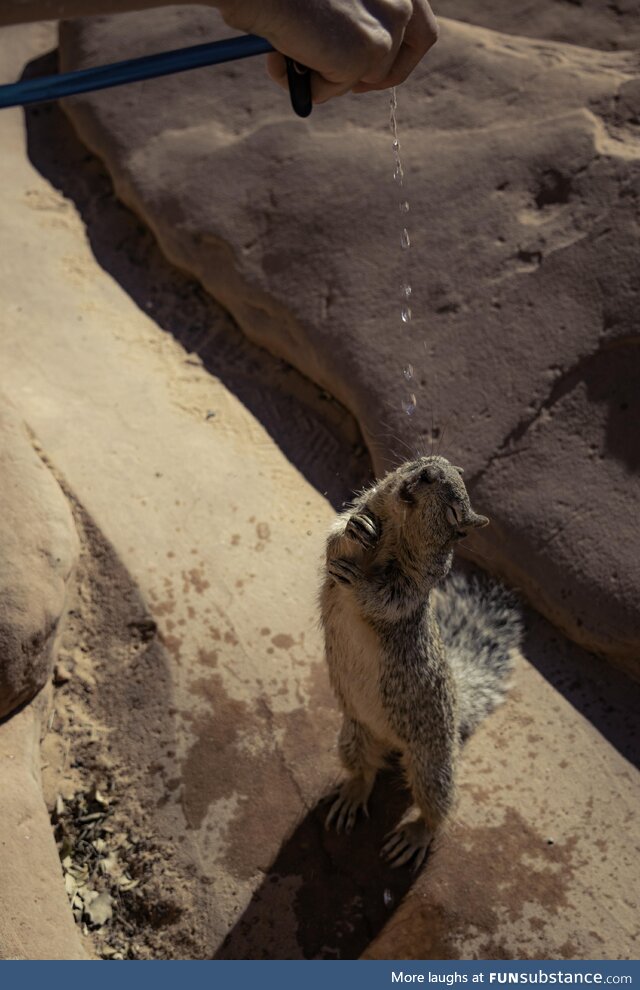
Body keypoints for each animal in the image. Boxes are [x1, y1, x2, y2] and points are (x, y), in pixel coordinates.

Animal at [320, 458, 520, 868]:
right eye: (422, 463)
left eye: (455, 512)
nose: (426, 474)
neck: (392, 532)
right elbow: (334, 543)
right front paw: (355, 528)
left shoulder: (412, 589)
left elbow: (386, 597)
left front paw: (359, 583)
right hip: (353, 736)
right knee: (364, 773)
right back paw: (351, 796)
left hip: (432, 765)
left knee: (437, 808)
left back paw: (415, 835)